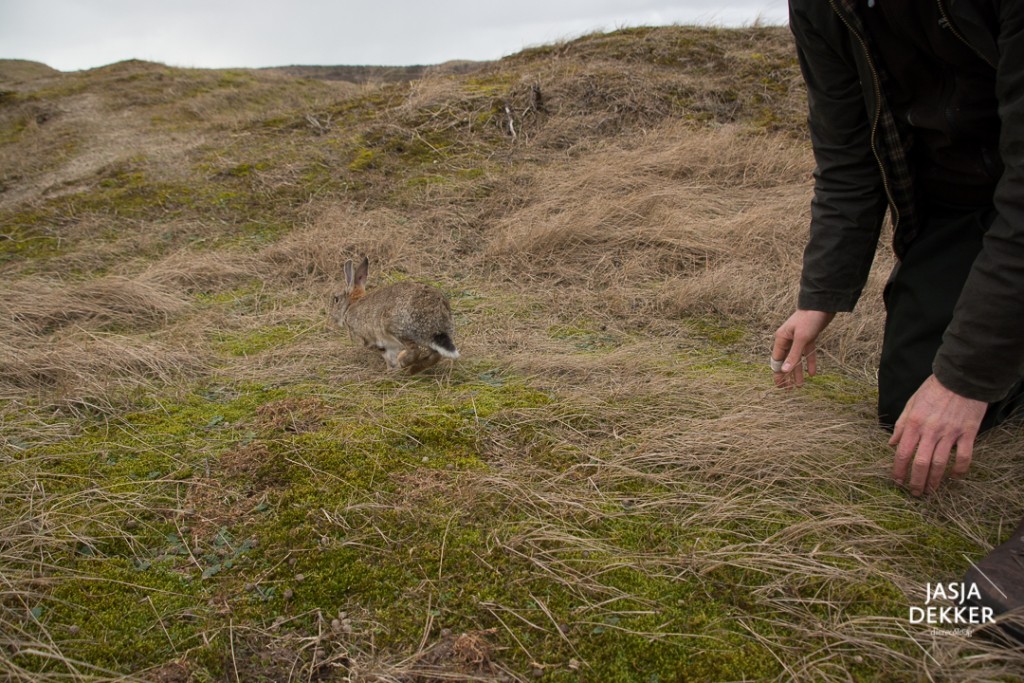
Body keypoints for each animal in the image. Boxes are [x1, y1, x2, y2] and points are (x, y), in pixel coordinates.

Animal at [331, 255, 460, 374]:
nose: (333, 318)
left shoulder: (370, 340)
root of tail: (436, 318)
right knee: (435, 355)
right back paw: (414, 369)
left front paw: (390, 370)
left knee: (415, 350)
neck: (350, 305)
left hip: (396, 328)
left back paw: (403, 362)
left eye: (336, 299)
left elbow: (387, 354)